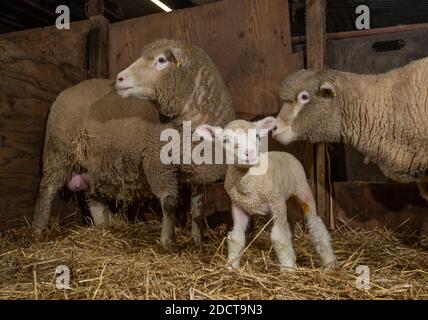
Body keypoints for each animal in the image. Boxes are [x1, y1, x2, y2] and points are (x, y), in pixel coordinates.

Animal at [196, 117, 336, 270]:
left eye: (257, 136)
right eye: (225, 140)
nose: (250, 153)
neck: (248, 187)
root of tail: (284, 152)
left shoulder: (276, 203)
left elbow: (279, 238)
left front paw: (288, 269)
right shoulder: (239, 206)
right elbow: (236, 238)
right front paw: (231, 266)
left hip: (302, 189)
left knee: (315, 224)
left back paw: (328, 262)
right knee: (288, 226)